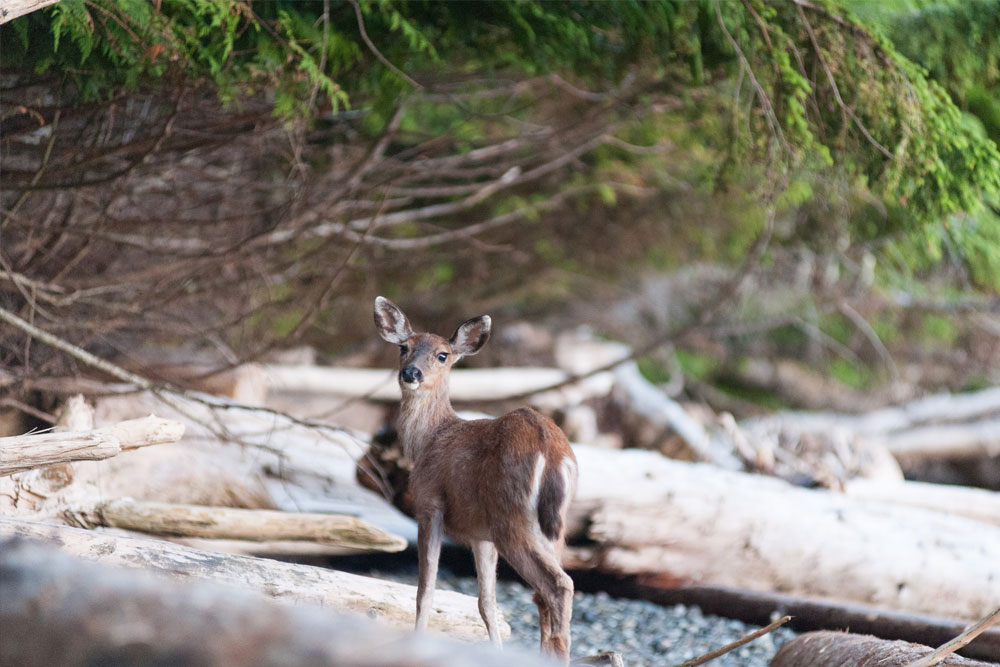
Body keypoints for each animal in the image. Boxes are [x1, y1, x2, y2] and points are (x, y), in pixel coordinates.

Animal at [374, 298, 580, 667]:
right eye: (403, 347)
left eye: (442, 355)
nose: (411, 373)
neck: (428, 440)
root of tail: (552, 449)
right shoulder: (480, 535)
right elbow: (487, 603)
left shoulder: (429, 505)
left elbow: (425, 591)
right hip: (553, 526)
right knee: (543, 595)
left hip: (511, 519)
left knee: (558, 586)